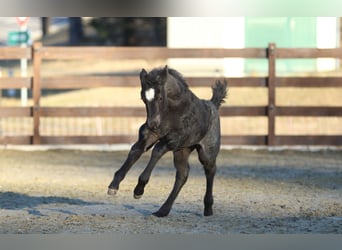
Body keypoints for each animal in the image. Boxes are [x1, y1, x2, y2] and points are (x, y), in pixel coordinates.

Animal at [108, 66, 228, 217]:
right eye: (143, 98)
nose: (153, 123)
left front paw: (139, 189)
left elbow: (157, 151)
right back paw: (162, 210)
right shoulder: (150, 135)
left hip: (207, 153)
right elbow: (136, 150)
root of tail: (213, 105)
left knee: (210, 171)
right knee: (183, 174)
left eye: (160, 97)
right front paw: (114, 185)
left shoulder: (173, 139)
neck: (173, 111)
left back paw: (208, 209)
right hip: (182, 151)